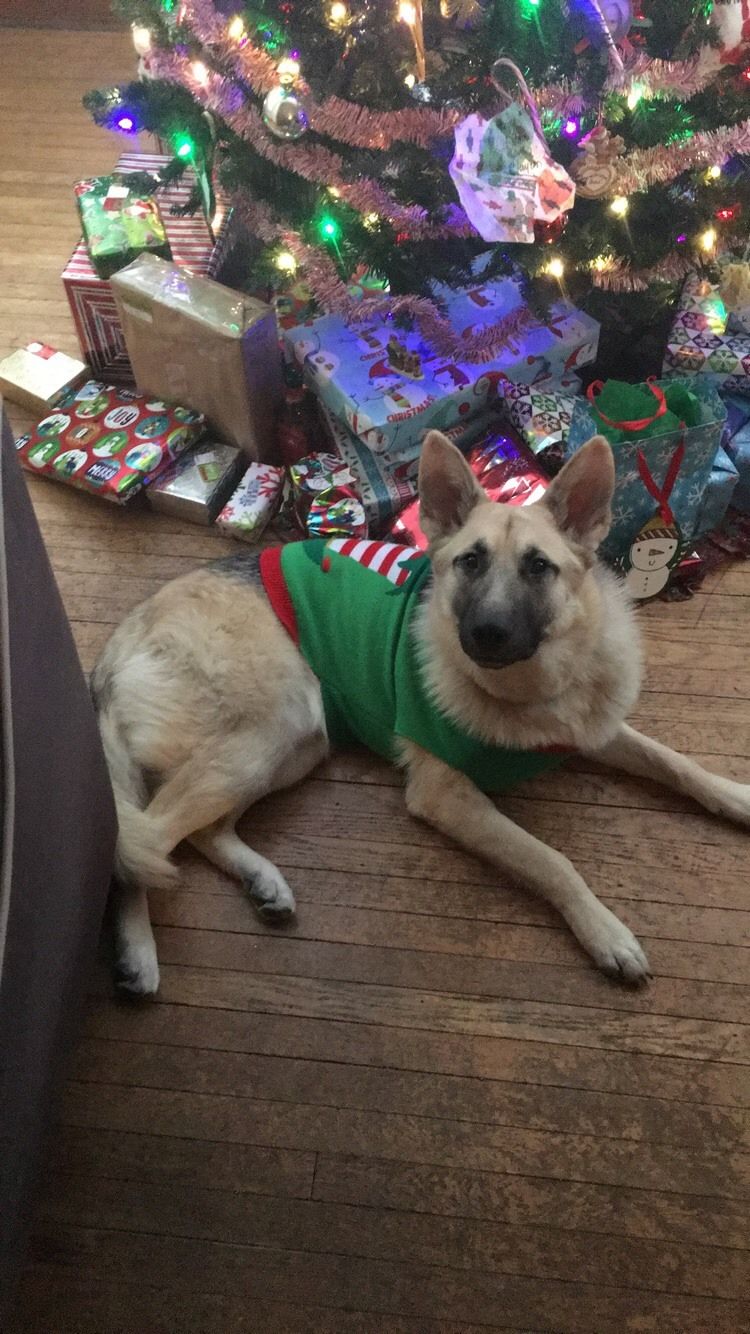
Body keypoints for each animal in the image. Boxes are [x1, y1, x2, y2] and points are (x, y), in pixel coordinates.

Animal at [92, 431, 750, 995]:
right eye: (470, 562)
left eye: (538, 567)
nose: (486, 635)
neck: (536, 688)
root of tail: (126, 631)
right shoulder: (447, 796)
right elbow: (550, 860)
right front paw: (604, 930)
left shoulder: (597, 729)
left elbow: (678, 763)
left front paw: (735, 796)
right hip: (275, 726)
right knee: (139, 842)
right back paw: (140, 952)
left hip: (291, 745)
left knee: (193, 832)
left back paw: (261, 880)